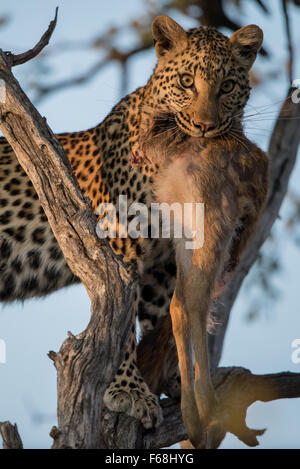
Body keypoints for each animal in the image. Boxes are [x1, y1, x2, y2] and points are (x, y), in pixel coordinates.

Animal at [0, 15, 268, 436]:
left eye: (227, 85)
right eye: (187, 81)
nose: (205, 126)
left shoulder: (166, 262)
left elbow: (166, 318)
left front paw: (177, 382)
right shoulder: (121, 246)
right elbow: (120, 324)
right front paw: (128, 389)